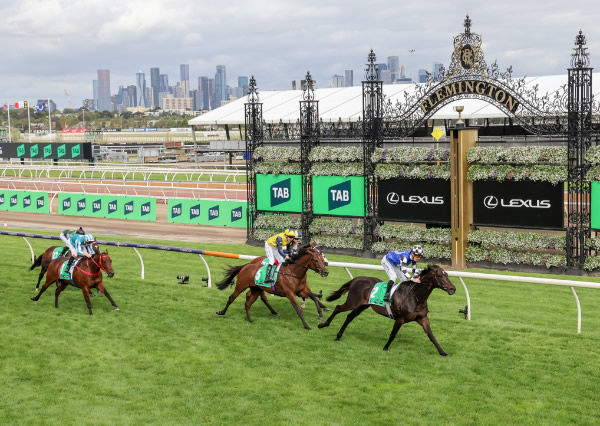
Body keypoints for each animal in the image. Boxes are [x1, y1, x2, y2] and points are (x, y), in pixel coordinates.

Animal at [318, 264, 454, 354]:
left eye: (447, 274)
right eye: (440, 276)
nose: (453, 289)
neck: (416, 297)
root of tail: (356, 279)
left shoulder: (423, 318)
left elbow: (431, 336)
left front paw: (443, 352)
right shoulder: (400, 319)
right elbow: (393, 334)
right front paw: (385, 348)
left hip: (362, 306)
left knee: (349, 317)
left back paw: (338, 336)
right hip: (353, 302)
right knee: (338, 308)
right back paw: (323, 324)